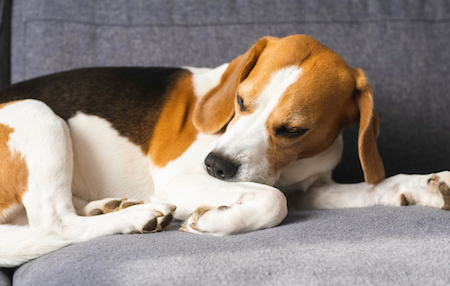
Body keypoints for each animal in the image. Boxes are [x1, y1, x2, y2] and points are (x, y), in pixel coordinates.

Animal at [0, 35, 450, 266]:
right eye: (240, 101)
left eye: (293, 130)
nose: (215, 166)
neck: (289, 167)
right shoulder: (179, 180)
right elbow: (274, 200)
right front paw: (217, 221)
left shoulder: (314, 187)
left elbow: (376, 186)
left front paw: (425, 185)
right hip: (37, 113)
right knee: (57, 223)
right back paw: (137, 215)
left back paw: (110, 206)